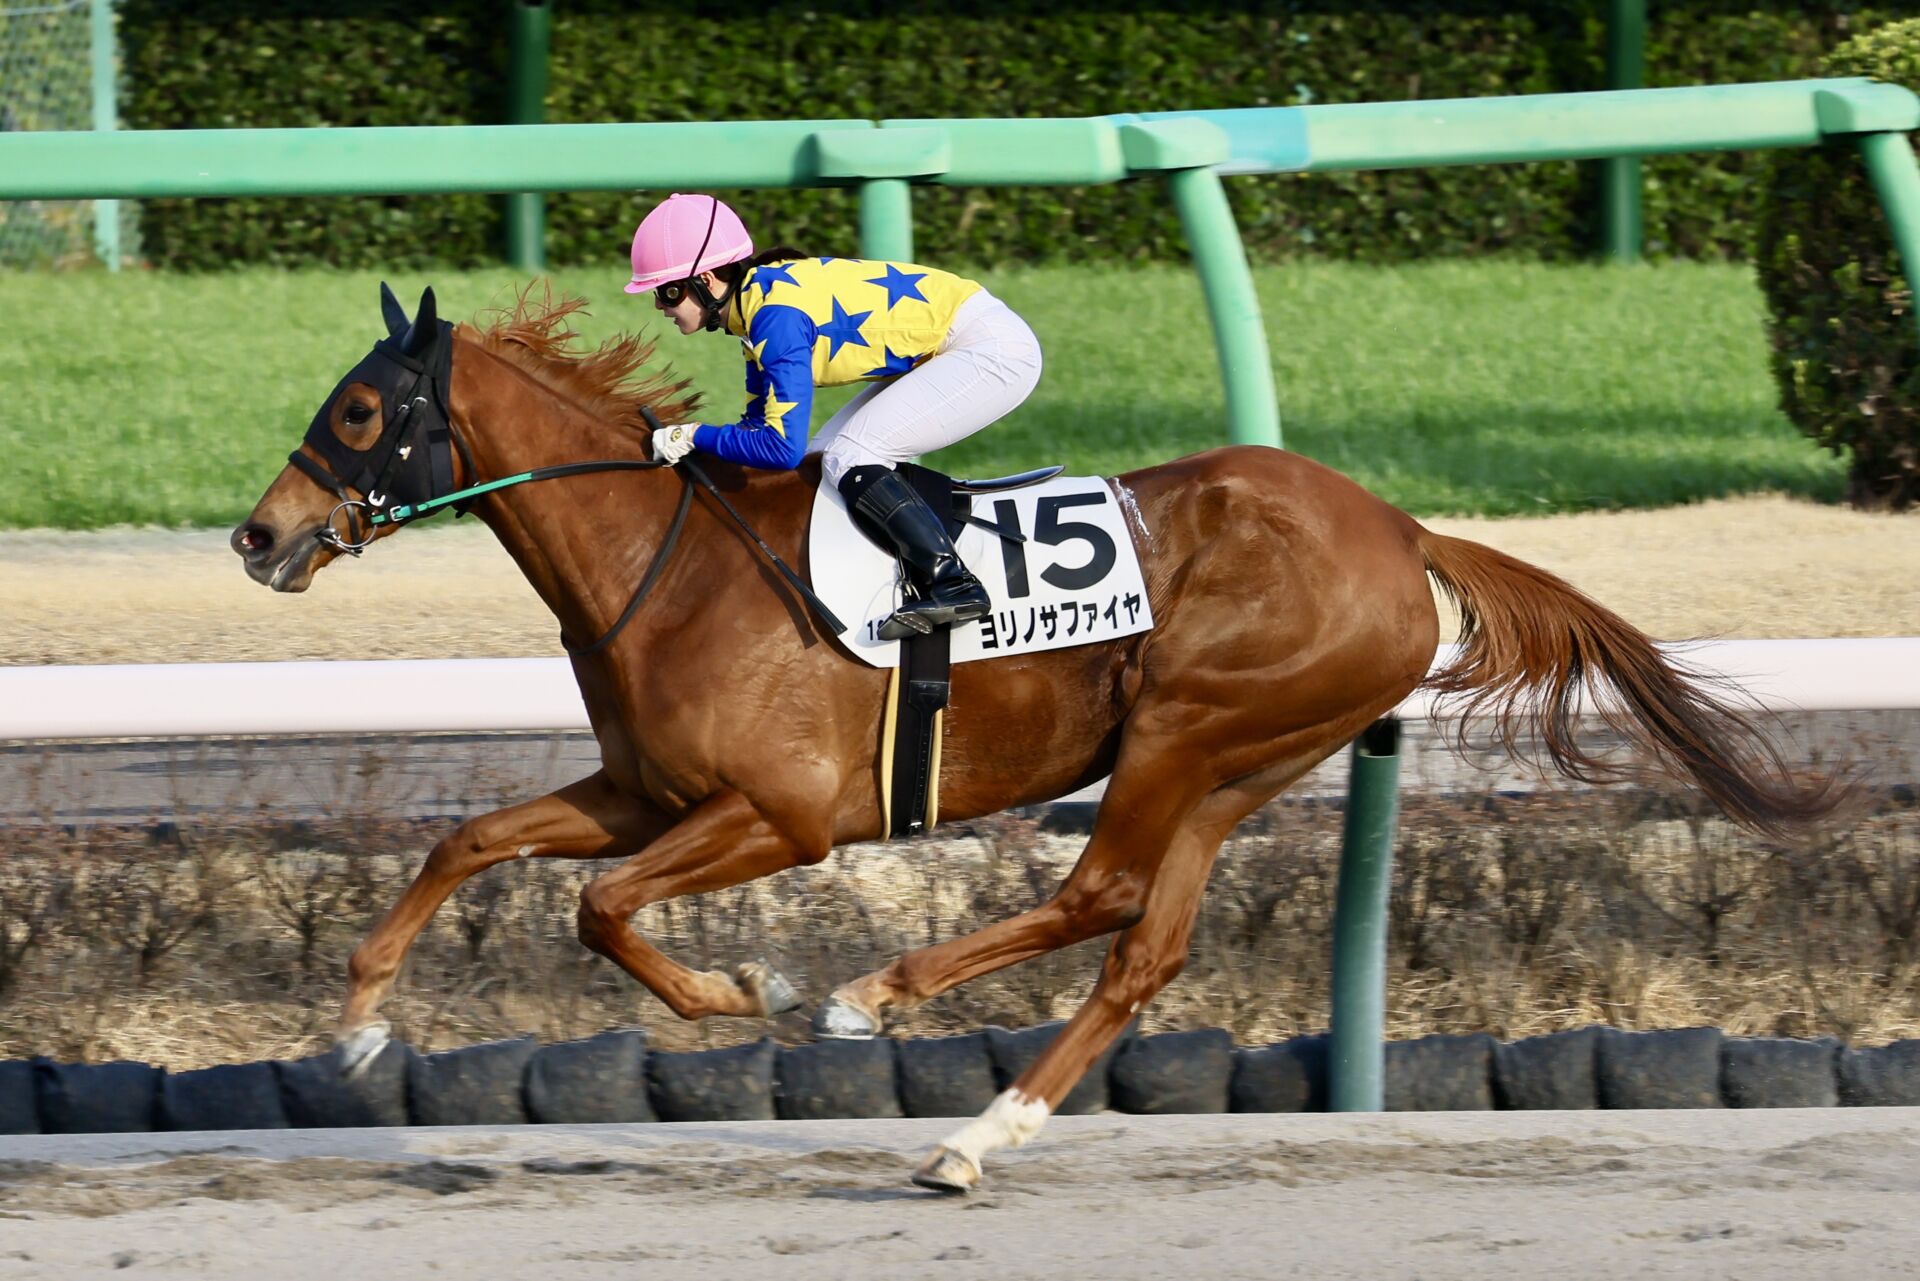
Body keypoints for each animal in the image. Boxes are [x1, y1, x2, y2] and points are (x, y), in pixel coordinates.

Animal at [232, 284, 1844, 1192]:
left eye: (362, 409)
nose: (258, 537)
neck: (664, 557)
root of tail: (1402, 530)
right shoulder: (646, 789)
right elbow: (476, 839)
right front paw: (360, 1022)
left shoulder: (781, 814)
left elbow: (602, 907)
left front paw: (753, 987)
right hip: (1244, 761)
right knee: (1143, 943)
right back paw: (975, 1137)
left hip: (1192, 723)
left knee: (1100, 893)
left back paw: (872, 997)